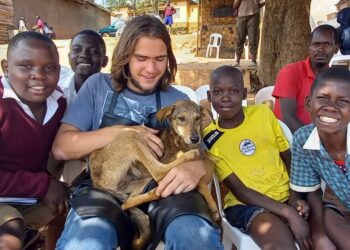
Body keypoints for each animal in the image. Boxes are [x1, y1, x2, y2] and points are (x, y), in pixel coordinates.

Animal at [89, 99, 217, 250]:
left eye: (198, 118)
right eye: (181, 118)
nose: (195, 138)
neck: (180, 142)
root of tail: (96, 181)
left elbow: (201, 179)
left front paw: (212, 206)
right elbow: (198, 179)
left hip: (138, 182)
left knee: (127, 203)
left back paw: (154, 193)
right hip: (131, 134)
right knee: (158, 172)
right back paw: (187, 157)